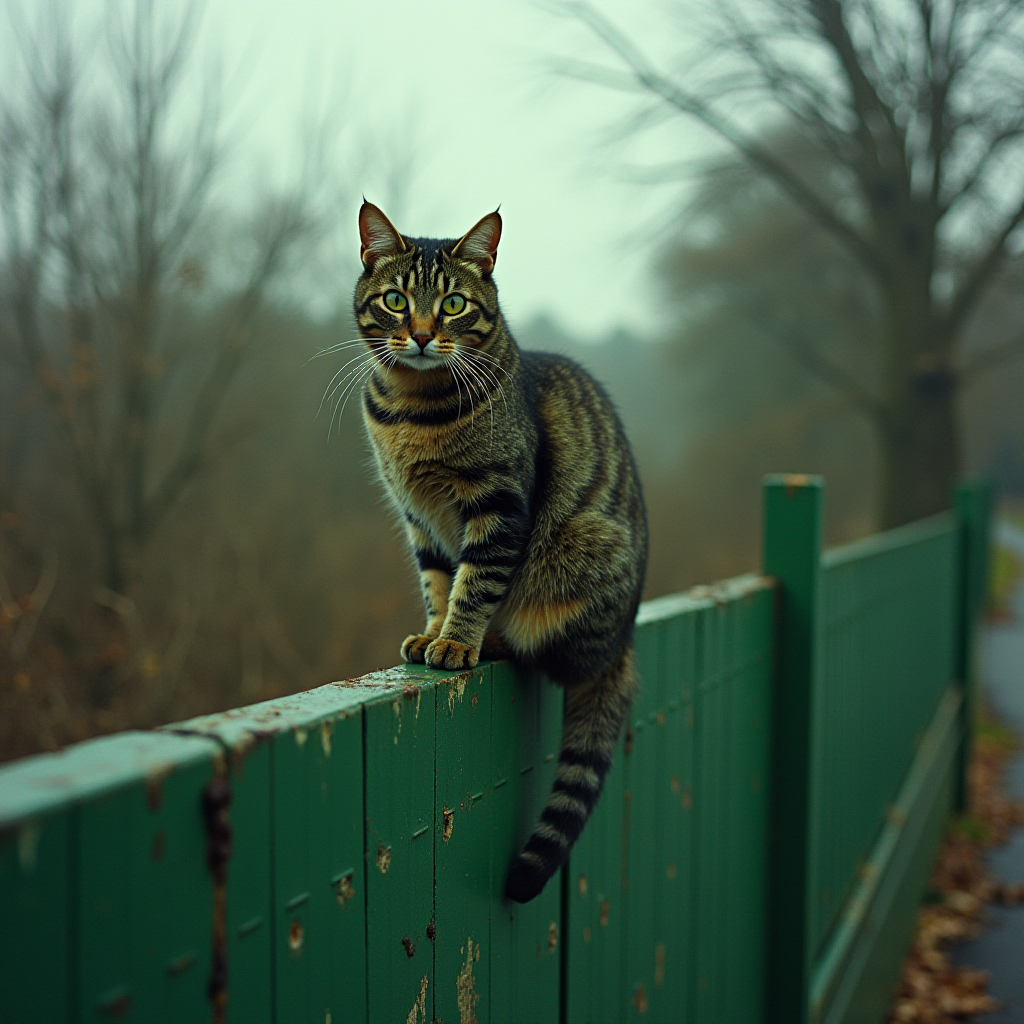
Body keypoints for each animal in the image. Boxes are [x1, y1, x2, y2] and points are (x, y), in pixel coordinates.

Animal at [348, 201, 643, 905]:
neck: (413, 412)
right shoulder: (421, 522)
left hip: (578, 555)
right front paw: (431, 632)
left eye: (453, 304)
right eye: (397, 300)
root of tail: (624, 641)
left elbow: (475, 582)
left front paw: (455, 642)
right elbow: (438, 580)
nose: (421, 335)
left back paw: (498, 641)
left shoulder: (498, 508)